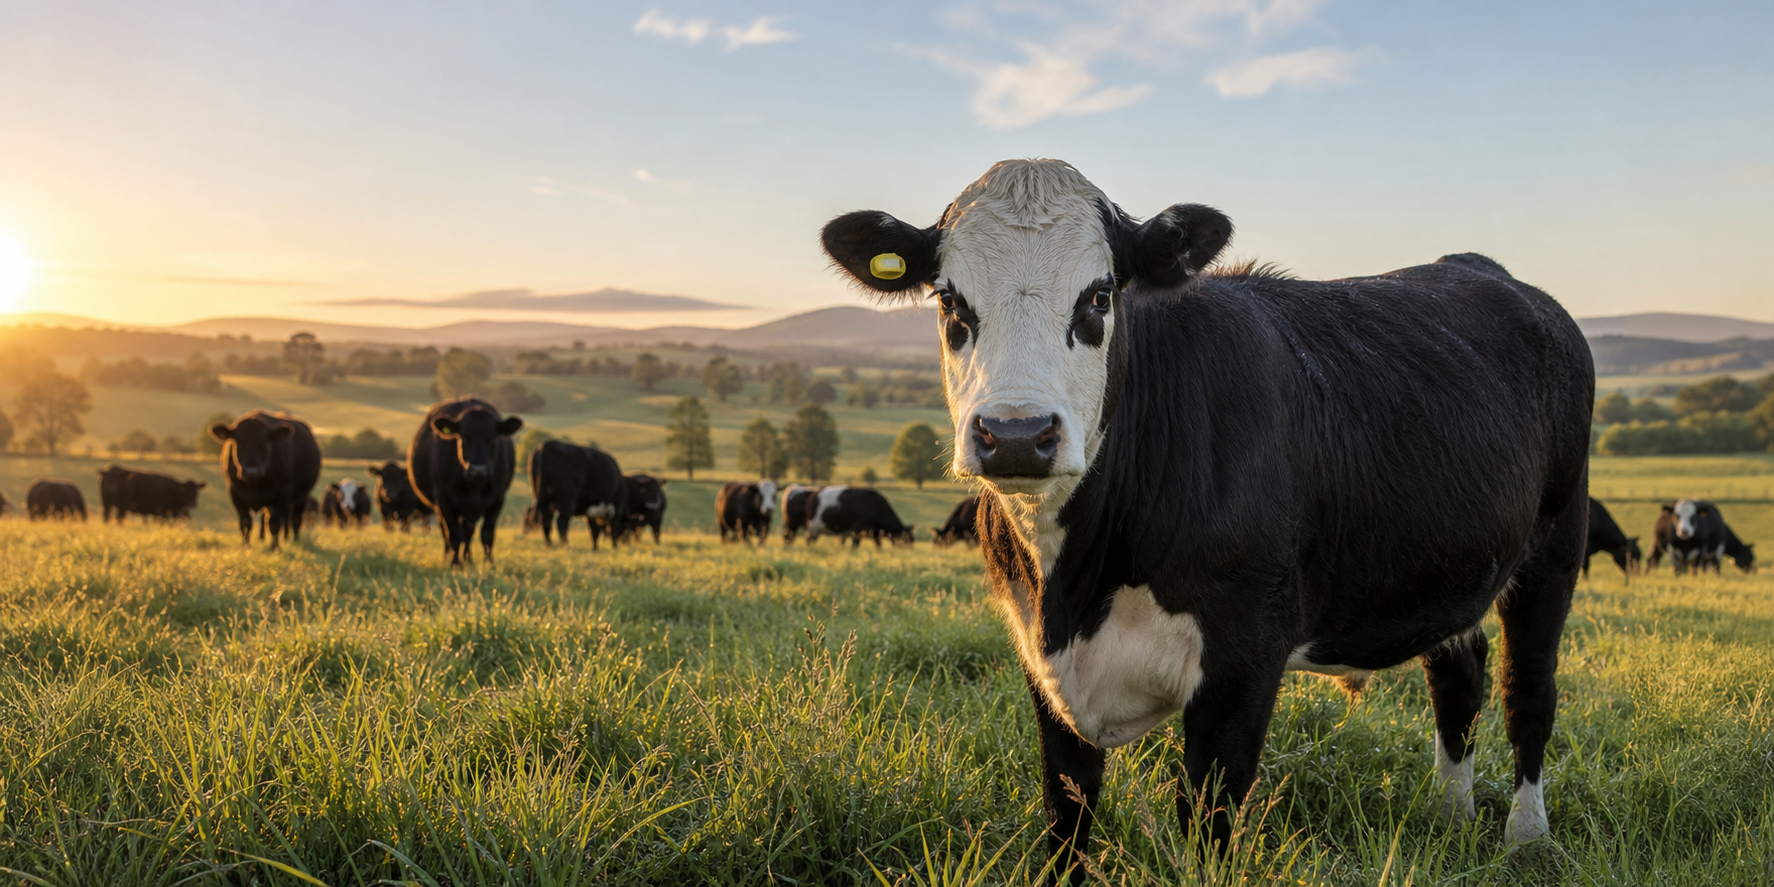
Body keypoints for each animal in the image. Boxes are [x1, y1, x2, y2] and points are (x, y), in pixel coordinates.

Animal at [209, 410, 322, 550]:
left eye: (264, 443)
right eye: (239, 443)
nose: (251, 471)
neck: (254, 483)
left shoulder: (282, 495)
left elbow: (275, 523)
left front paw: (274, 548)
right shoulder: (235, 494)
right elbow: (246, 522)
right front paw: (246, 547)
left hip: (302, 497)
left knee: (296, 520)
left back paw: (295, 541)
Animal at [409, 396, 523, 567]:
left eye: (493, 438)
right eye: (464, 438)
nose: (478, 470)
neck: (474, 486)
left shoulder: (498, 499)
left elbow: (487, 534)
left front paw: (489, 564)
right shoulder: (444, 500)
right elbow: (454, 533)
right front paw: (455, 564)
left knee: (469, 532)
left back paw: (468, 559)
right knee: (447, 531)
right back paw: (449, 556)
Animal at [821, 158, 1592, 879]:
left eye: (1100, 295)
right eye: (949, 299)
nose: (1016, 434)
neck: (1076, 587)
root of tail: (1482, 269)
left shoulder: (1242, 663)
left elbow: (1207, 827)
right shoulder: (1042, 666)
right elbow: (1066, 818)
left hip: (1555, 546)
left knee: (1528, 692)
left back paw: (1526, 839)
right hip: (1452, 567)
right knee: (1457, 678)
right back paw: (1449, 816)